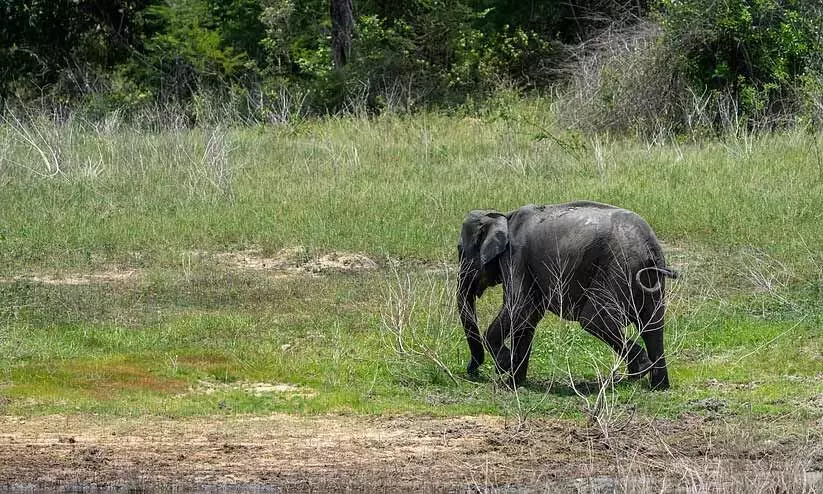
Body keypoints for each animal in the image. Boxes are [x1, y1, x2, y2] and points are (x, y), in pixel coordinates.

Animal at [457, 201, 678, 390]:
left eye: (460, 251)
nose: (472, 371)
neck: (502, 216)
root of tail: (648, 246)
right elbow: (528, 316)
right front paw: (514, 383)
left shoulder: (516, 256)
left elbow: (519, 306)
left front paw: (503, 366)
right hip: (647, 277)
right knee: (652, 326)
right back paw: (658, 385)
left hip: (618, 268)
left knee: (594, 319)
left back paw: (639, 371)